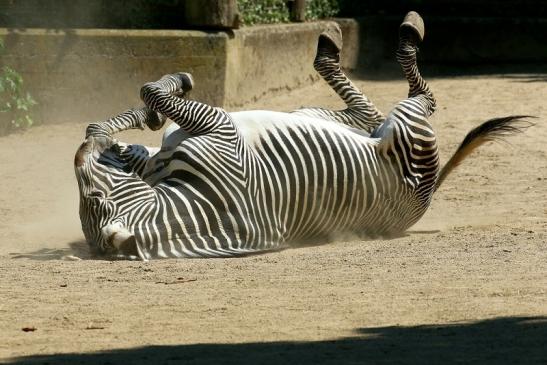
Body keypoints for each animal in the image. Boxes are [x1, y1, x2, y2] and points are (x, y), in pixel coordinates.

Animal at [76, 12, 532, 258]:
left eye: (93, 195)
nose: (83, 152)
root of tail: (428, 194)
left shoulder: (210, 131)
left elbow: (144, 101)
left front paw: (146, 115)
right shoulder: (219, 130)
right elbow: (147, 94)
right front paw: (164, 95)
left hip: (317, 114)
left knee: (371, 110)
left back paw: (339, 39)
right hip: (406, 126)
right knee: (414, 98)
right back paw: (397, 31)